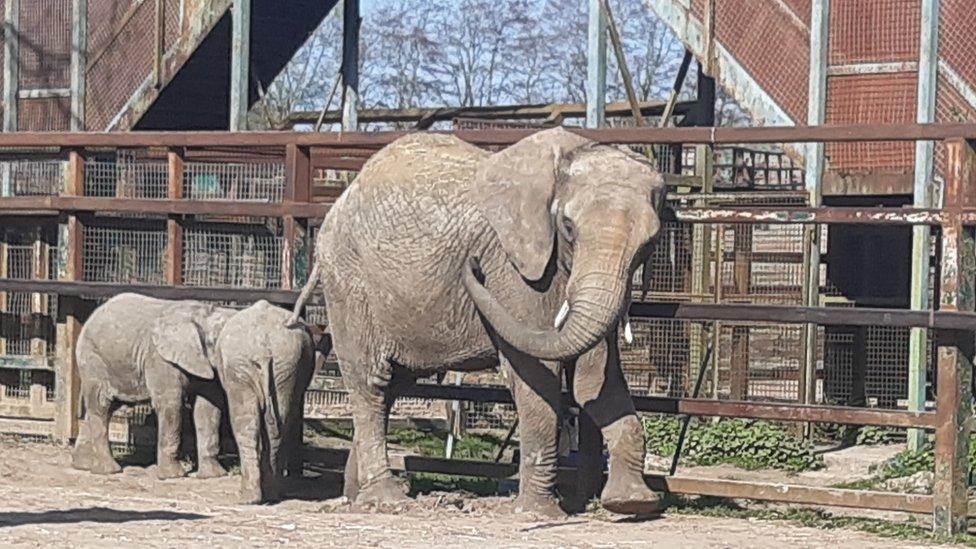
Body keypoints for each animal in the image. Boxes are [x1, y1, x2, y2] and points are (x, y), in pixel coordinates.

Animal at [71, 294, 312, 504]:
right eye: (218, 344)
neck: (204, 313)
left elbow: (208, 408)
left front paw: (213, 475)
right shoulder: (159, 357)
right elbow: (171, 403)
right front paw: (174, 476)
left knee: (104, 407)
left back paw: (83, 465)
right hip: (93, 358)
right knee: (101, 405)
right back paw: (108, 469)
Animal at [292, 127, 664, 512]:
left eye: (650, 243)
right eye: (568, 227)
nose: (472, 265)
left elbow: (593, 379)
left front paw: (632, 504)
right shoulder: (513, 268)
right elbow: (537, 374)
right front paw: (539, 512)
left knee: (392, 385)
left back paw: (357, 496)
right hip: (350, 280)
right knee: (371, 382)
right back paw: (386, 499)